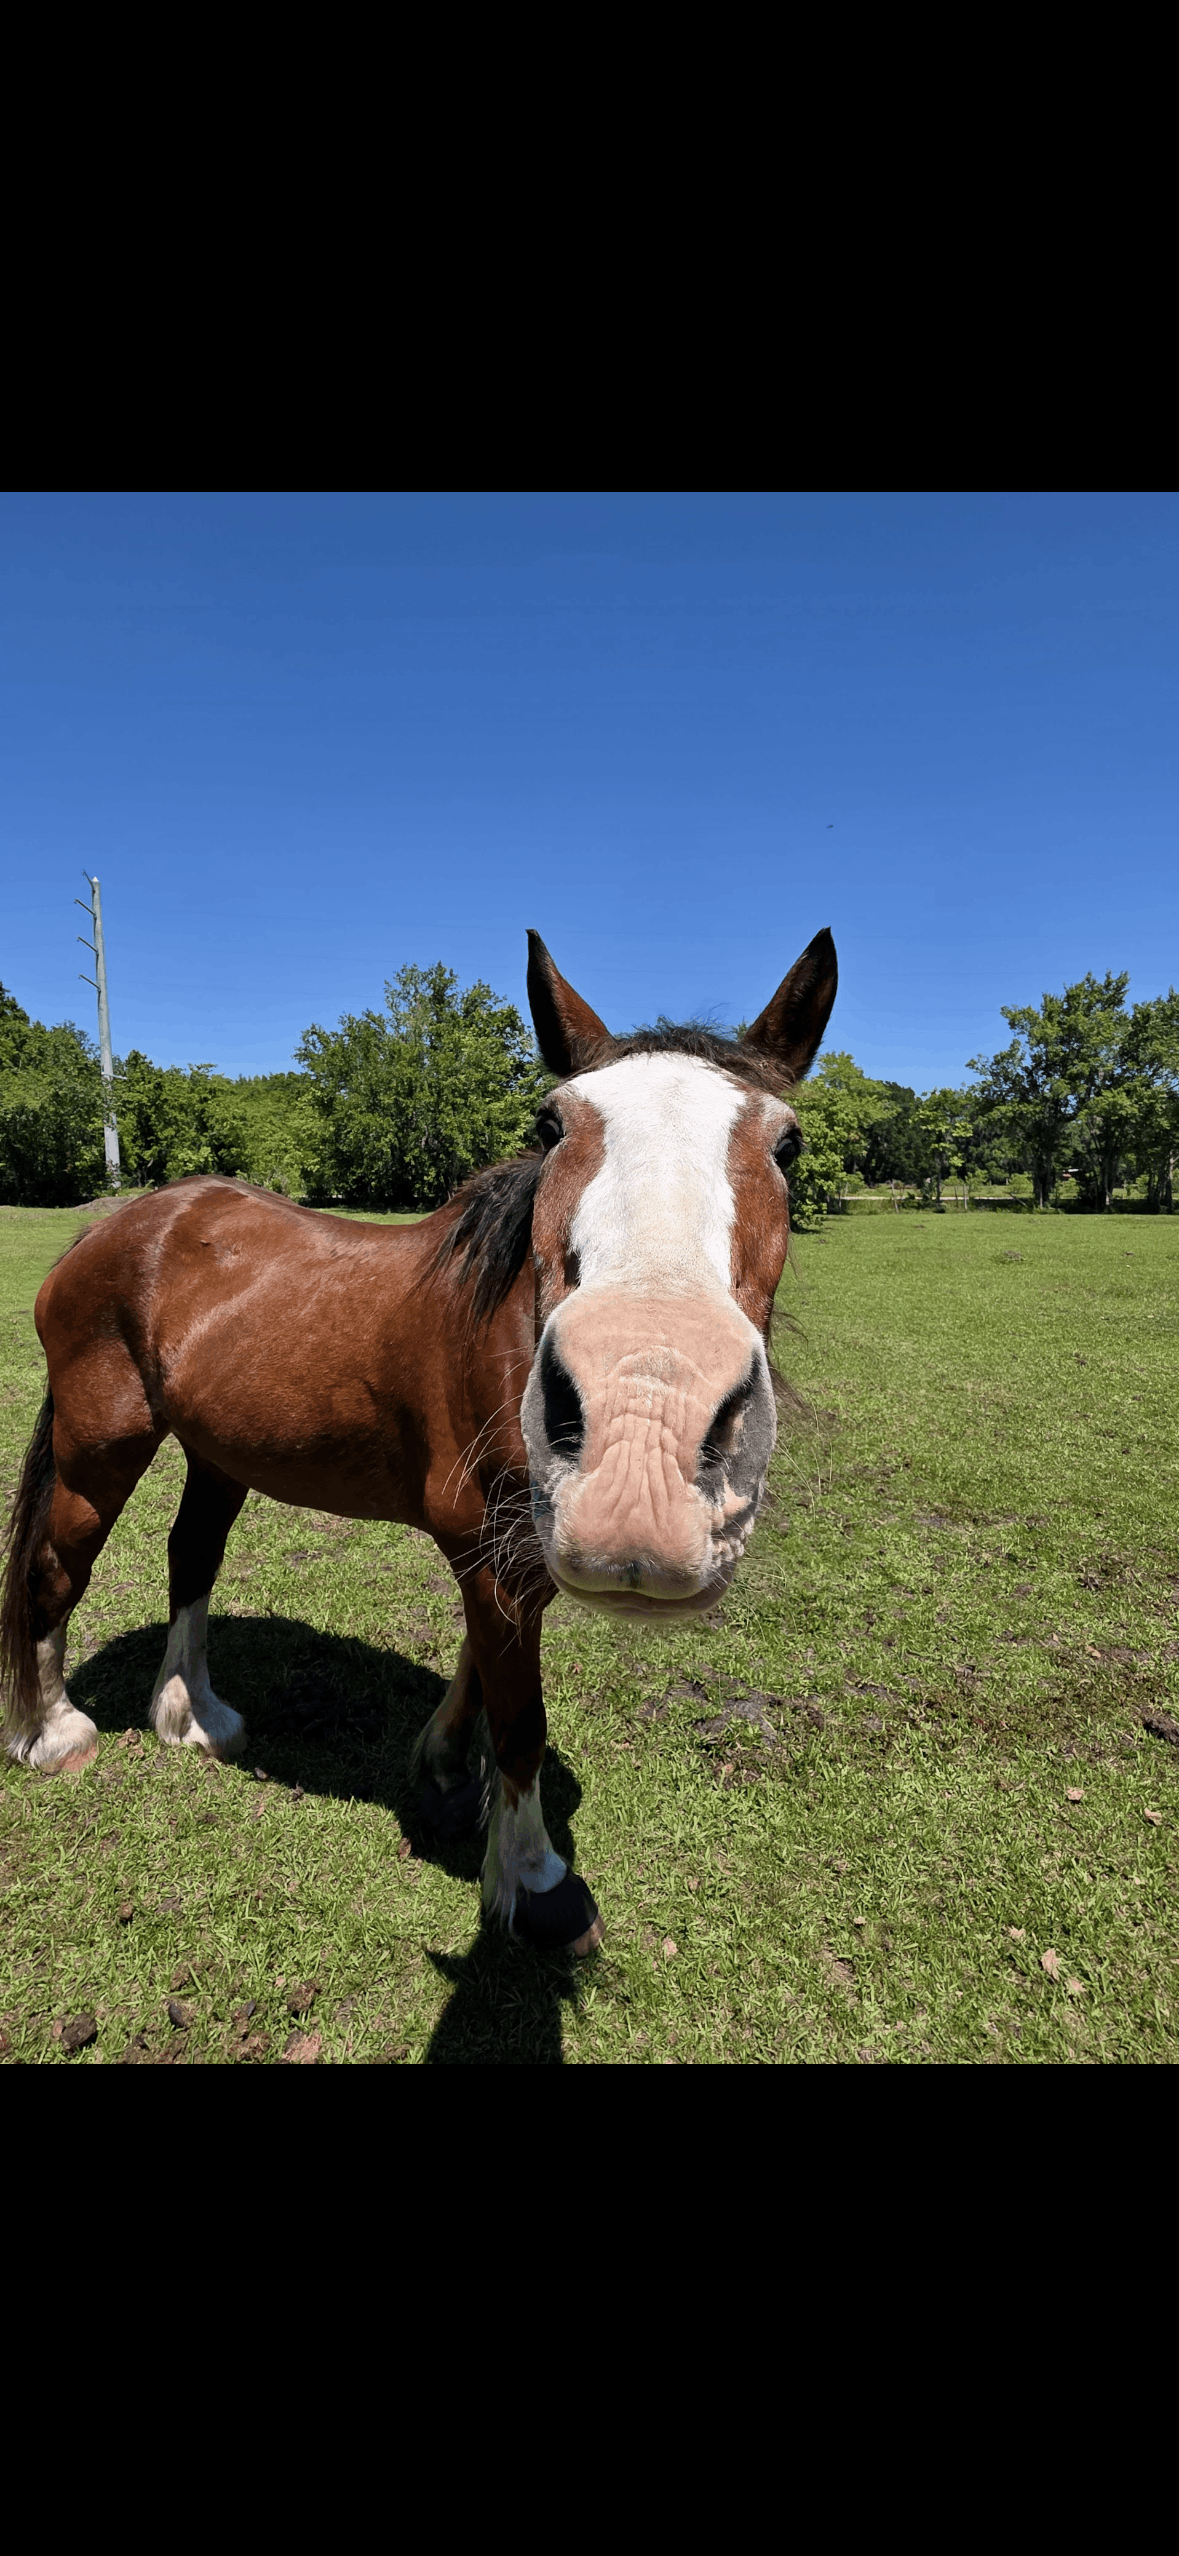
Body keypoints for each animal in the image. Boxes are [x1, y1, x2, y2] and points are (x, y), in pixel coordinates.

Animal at [0, 926, 837, 1954]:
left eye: (786, 1142)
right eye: (551, 1126)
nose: (644, 1438)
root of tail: (125, 1224)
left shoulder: (524, 1544)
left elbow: (485, 1667)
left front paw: (443, 1766)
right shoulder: (487, 1543)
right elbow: (518, 1714)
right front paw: (534, 1879)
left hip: (215, 1453)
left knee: (190, 1556)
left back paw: (191, 1714)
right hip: (100, 1442)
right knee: (54, 1570)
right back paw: (50, 1733)